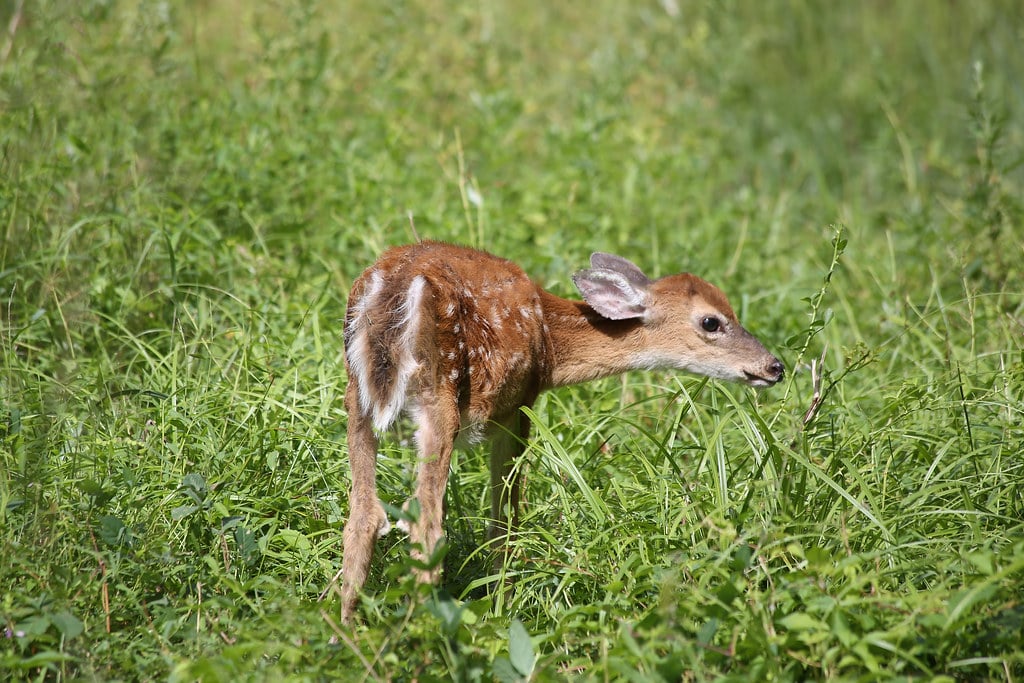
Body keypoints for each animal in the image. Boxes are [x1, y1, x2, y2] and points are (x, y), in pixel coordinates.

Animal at [339, 241, 783, 623]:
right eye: (712, 321)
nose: (774, 367)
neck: (551, 343)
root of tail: (390, 291)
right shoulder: (520, 403)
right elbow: (504, 521)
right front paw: (501, 603)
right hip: (439, 393)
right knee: (425, 523)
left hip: (356, 397)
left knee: (364, 514)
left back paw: (345, 630)